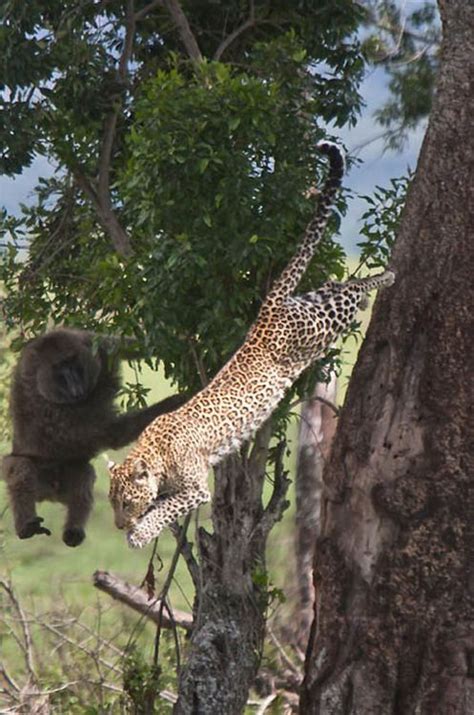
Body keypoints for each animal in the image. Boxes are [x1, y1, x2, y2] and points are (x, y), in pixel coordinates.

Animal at [109, 143, 394, 552]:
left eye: (126, 502)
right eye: (111, 502)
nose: (118, 524)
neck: (156, 454)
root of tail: (267, 311)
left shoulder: (195, 489)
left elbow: (163, 510)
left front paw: (141, 532)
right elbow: (161, 506)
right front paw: (139, 531)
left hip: (319, 326)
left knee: (351, 292)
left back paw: (385, 276)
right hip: (311, 306)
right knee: (333, 285)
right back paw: (361, 280)